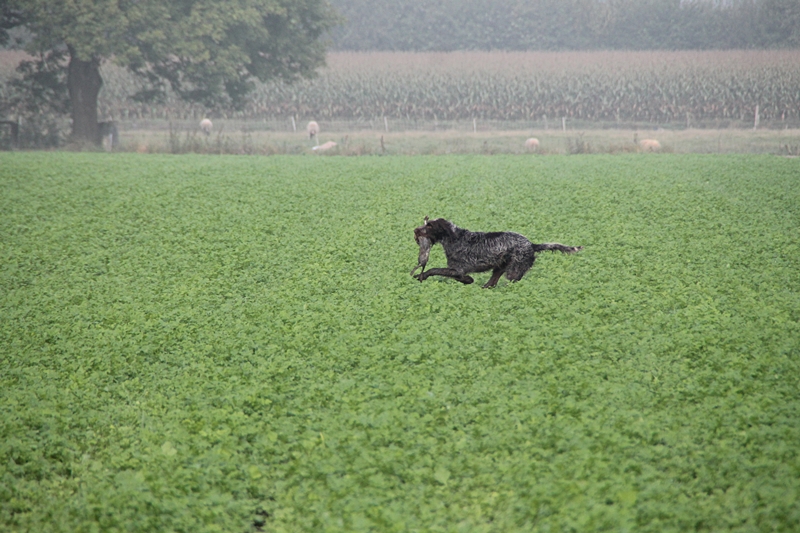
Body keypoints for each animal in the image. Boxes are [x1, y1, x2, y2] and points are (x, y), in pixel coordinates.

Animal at [412, 218, 580, 288]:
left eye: (429, 226)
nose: (415, 230)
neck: (455, 238)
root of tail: (532, 245)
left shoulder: (457, 269)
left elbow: (434, 270)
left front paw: (421, 275)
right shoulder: (457, 271)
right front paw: (468, 280)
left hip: (513, 272)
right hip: (499, 269)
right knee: (490, 284)